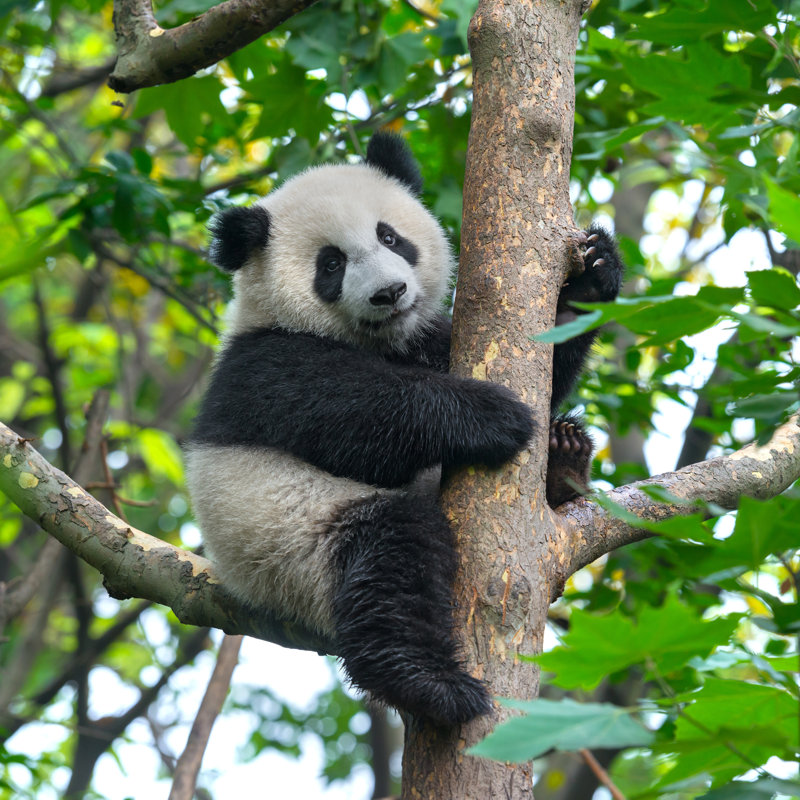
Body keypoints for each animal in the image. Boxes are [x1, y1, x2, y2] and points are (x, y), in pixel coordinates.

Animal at [185, 133, 623, 726]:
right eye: (331, 264)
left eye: (389, 236)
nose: (389, 293)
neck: (378, 340)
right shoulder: (265, 366)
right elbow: (355, 419)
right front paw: (491, 415)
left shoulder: (427, 339)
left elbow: (546, 359)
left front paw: (595, 273)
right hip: (292, 546)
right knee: (389, 560)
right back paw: (431, 684)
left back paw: (564, 458)